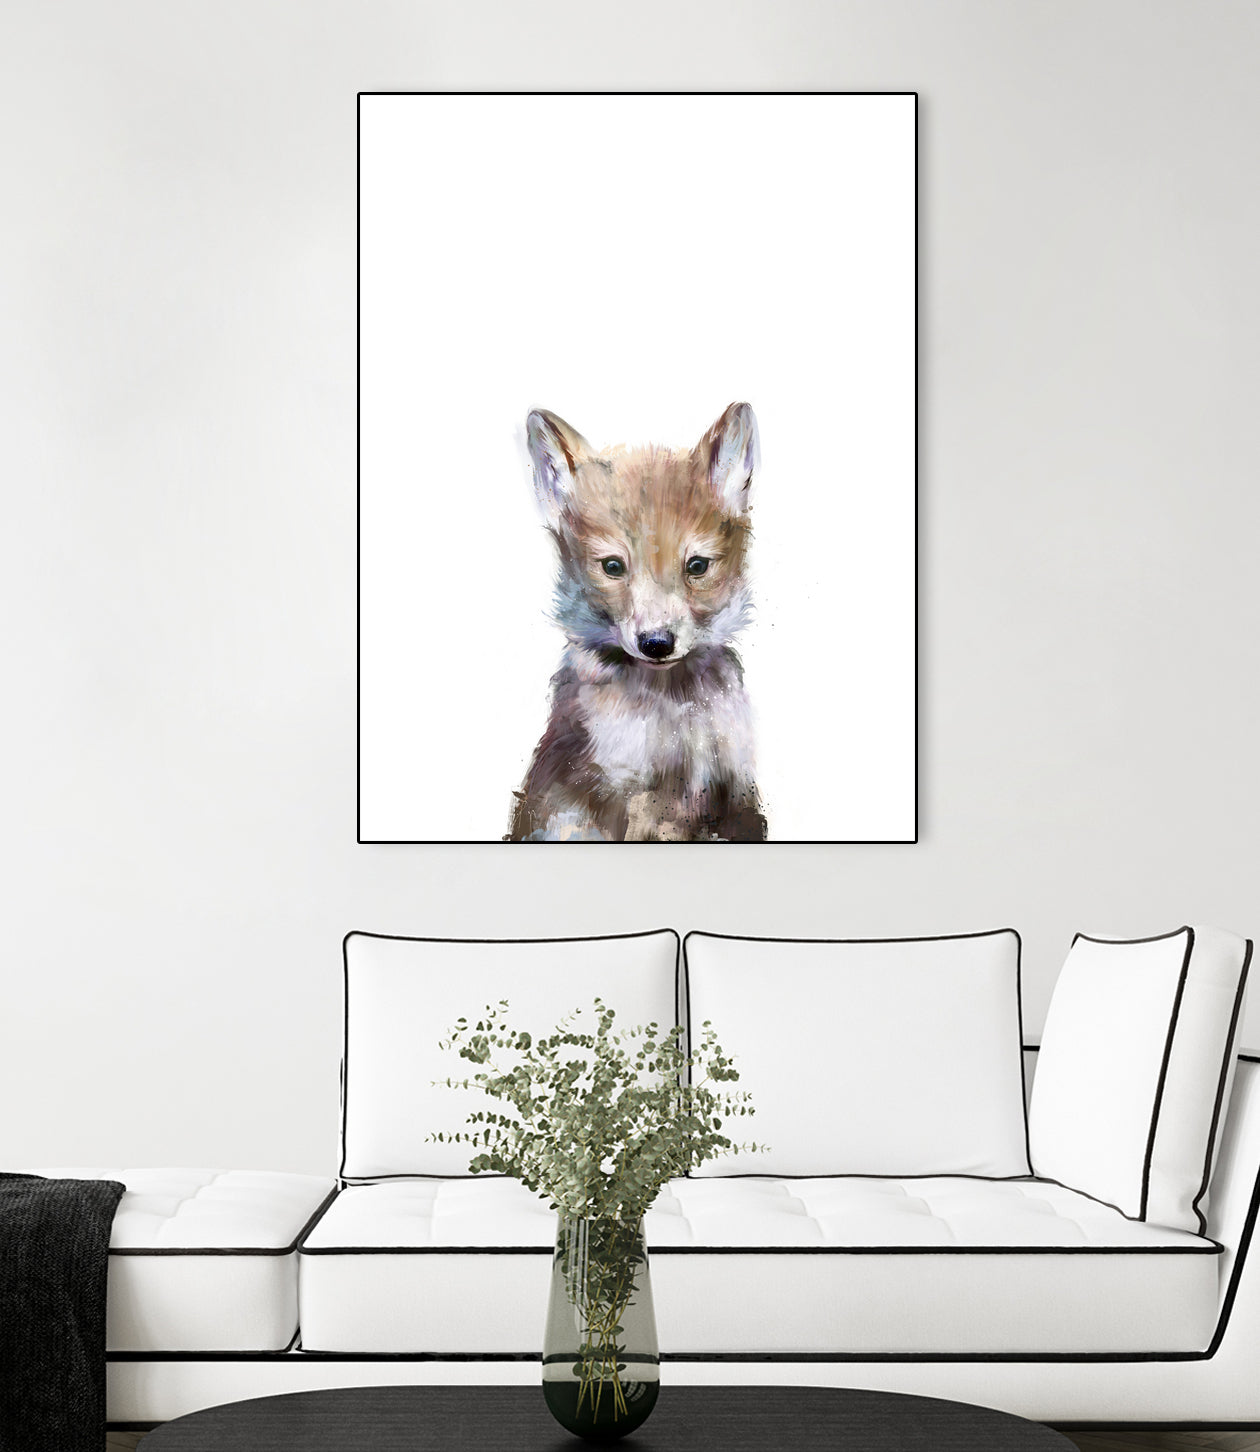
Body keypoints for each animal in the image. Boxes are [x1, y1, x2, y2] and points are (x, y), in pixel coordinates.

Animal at [507, 403, 768, 843]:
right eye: (613, 566)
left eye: (697, 566)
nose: (657, 644)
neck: (673, 711)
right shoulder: (627, 794)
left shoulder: (735, 790)